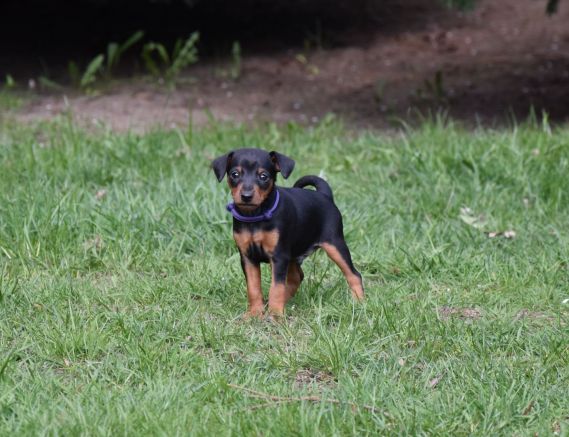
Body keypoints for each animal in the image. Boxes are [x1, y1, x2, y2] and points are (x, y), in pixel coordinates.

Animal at [211, 147, 362, 316]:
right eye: (235, 174)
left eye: (263, 176)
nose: (246, 196)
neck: (256, 215)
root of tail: (325, 195)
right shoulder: (248, 257)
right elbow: (254, 287)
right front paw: (254, 313)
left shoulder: (279, 256)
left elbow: (276, 287)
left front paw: (276, 315)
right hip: (293, 255)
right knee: (297, 277)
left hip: (335, 244)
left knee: (354, 275)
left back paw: (360, 303)